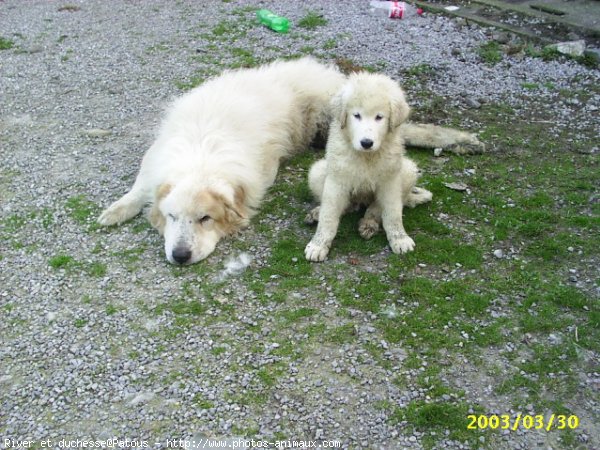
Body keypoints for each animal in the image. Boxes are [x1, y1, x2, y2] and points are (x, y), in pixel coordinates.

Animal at [98, 58, 482, 266]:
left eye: (205, 219)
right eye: (172, 217)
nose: (179, 256)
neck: (200, 153)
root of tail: (336, 77)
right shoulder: (155, 159)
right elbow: (138, 189)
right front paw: (117, 210)